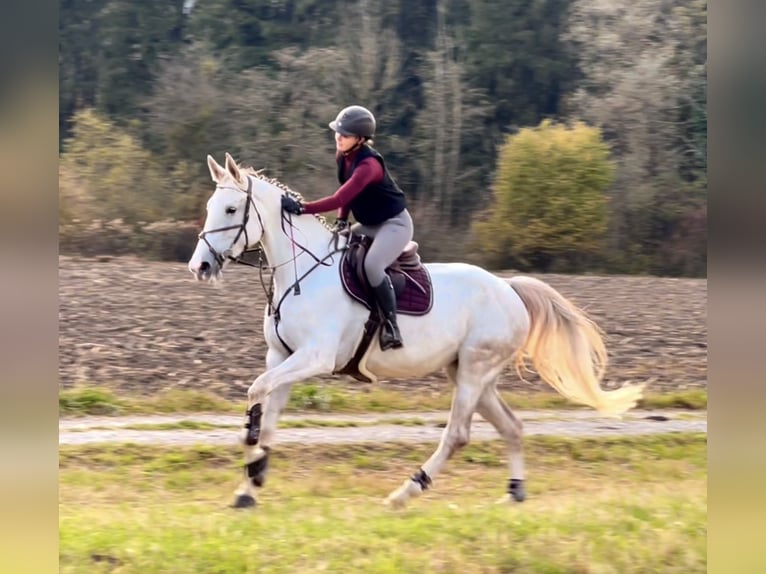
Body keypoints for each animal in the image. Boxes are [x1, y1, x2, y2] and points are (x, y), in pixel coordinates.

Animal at [189, 152, 644, 508]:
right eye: (212, 205)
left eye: (231, 210)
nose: (200, 267)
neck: (302, 272)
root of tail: (509, 289)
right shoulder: (282, 357)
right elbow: (268, 414)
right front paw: (250, 483)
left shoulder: (314, 358)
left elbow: (255, 393)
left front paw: (251, 456)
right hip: (469, 373)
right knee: (511, 427)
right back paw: (514, 492)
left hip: (475, 371)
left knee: (457, 434)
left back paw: (405, 492)